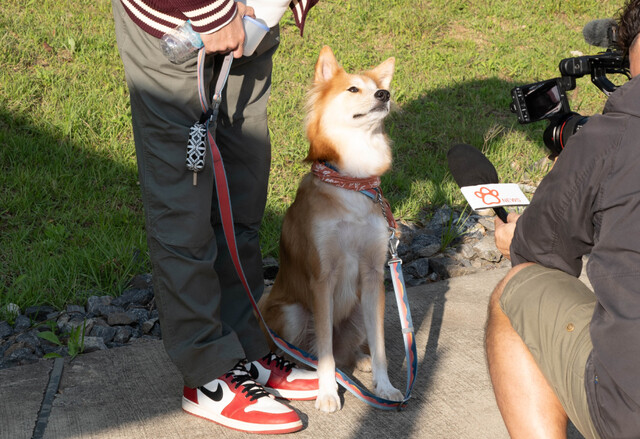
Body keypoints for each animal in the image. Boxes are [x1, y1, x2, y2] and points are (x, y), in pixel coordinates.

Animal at [258, 46, 400, 414]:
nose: (385, 94)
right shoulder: (322, 277)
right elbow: (324, 352)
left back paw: (360, 360)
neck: (351, 182)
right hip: (293, 312)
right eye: (353, 89)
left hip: (359, 311)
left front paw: (385, 385)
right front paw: (326, 392)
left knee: (351, 347)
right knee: (311, 349)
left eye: (379, 87)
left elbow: (381, 346)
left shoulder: (373, 274)